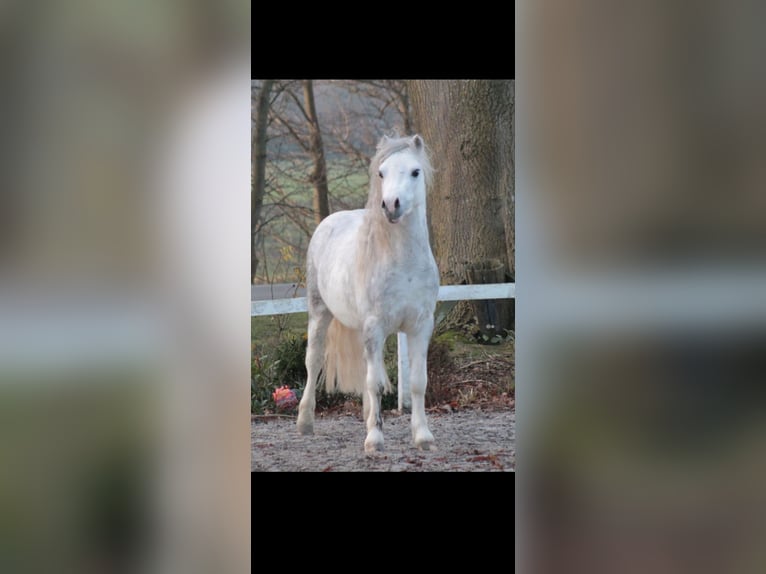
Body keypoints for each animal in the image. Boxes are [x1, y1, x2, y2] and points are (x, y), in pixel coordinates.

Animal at [296, 134, 440, 452]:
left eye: (415, 171)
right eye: (381, 173)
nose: (390, 205)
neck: (404, 263)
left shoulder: (420, 326)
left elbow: (417, 382)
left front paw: (423, 436)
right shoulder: (375, 327)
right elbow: (376, 383)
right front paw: (375, 439)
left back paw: (367, 416)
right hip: (319, 313)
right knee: (313, 362)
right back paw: (305, 422)